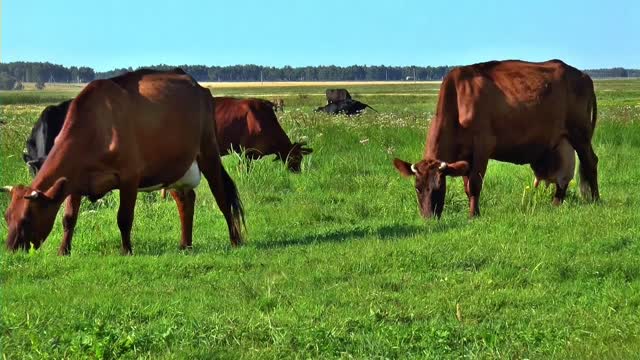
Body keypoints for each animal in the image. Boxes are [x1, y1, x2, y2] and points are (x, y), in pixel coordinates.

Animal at [1, 69, 245, 255]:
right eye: (7, 216)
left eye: (27, 218)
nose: (10, 250)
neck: (97, 128)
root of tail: (198, 86)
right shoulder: (74, 181)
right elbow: (69, 218)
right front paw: (63, 251)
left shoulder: (130, 177)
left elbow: (124, 218)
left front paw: (126, 251)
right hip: (173, 166)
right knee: (186, 199)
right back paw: (185, 244)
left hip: (208, 151)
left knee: (222, 197)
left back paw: (235, 241)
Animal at [392, 59, 596, 218]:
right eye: (417, 188)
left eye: (439, 187)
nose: (428, 218)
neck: (459, 100)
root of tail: (583, 76)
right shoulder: (465, 156)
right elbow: (467, 186)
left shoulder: (483, 146)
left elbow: (474, 184)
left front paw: (473, 215)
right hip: (562, 141)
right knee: (564, 175)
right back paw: (556, 203)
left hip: (581, 135)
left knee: (590, 161)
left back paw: (596, 199)